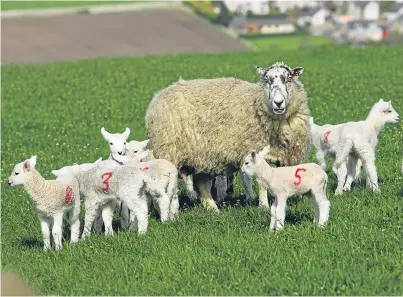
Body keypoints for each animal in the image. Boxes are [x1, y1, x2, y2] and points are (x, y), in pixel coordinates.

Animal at [145, 61, 312, 212]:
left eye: (289, 78)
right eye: (266, 80)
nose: (278, 103)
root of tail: (158, 96)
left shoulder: (287, 155)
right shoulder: (255, 149)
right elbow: (261, 183)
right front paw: (263, 206)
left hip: (202, 157)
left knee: (201, 185)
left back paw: (214, 210)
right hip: (169, 151)